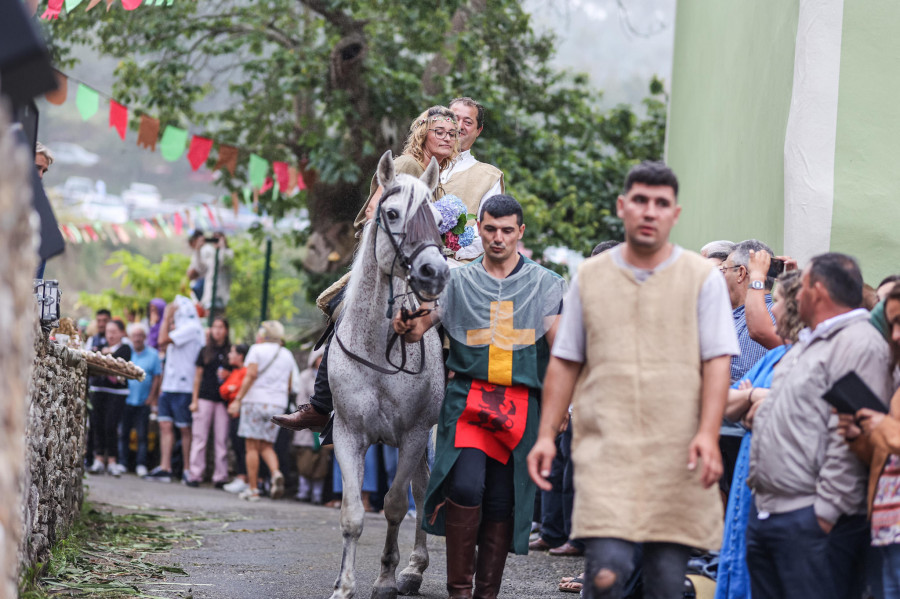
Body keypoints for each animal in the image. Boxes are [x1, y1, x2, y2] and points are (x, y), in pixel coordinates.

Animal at [326, 150, 450, 599]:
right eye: (392, 213)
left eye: (435, 217)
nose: (434, 272)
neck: (377, 346)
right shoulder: (348, 434)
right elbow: (352, 513)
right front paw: (344, 586)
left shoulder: (413, 434)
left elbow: (396, 505)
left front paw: (384, 579)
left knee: (424, 492)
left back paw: (412, 570)